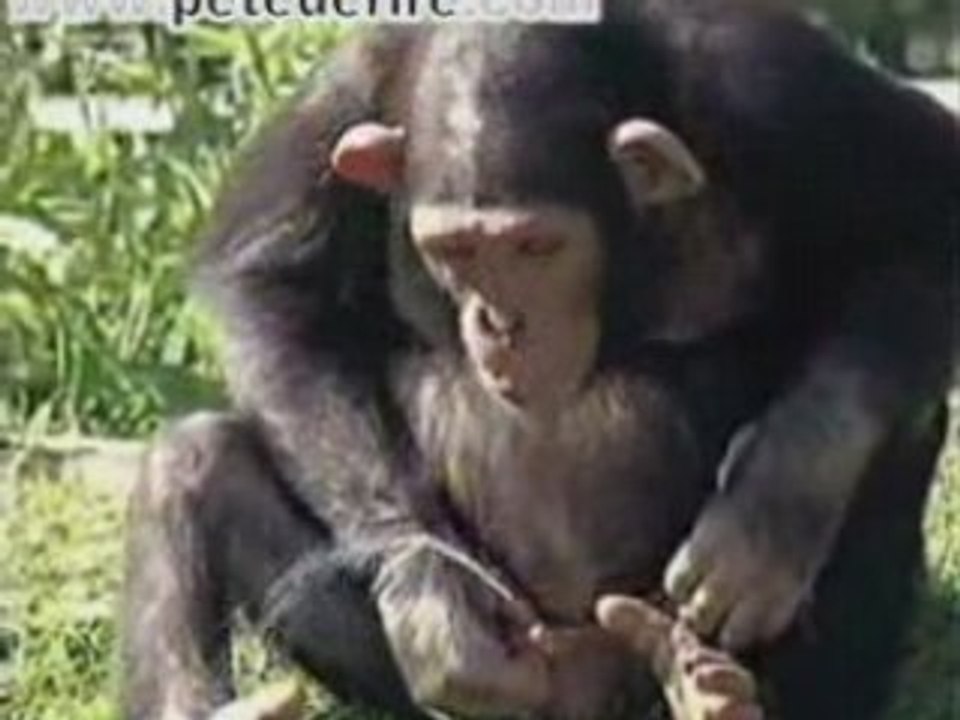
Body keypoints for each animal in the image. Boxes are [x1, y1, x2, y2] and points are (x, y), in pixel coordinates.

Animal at [120, 3, 958, 720]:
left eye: (536, 246)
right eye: (456, 249)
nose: (501, 321)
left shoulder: (773, 84)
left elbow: (926, 215)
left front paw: (769, 515)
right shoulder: (347, 87)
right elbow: (268, 286)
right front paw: (431, 603)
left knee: (896, 422)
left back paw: (718, 690)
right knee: (190, 463)